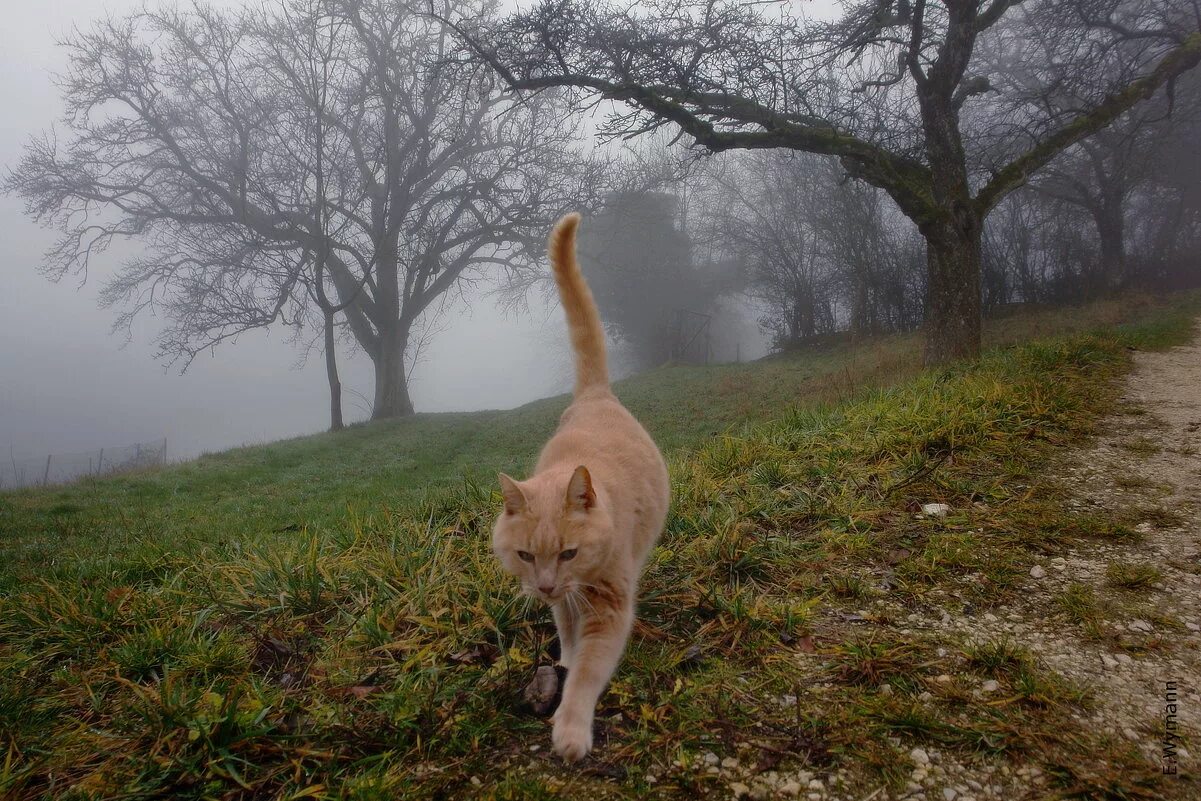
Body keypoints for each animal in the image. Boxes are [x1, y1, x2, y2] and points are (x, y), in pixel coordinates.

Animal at [492, 210, 672, 763]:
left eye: (569, 553)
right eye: (527, 556)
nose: (547, 584)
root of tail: (594, 394)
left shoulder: (608, 607)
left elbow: (590, 671)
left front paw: (571, 727)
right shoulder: (564, 605)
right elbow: (569, 640)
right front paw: (565, 663)